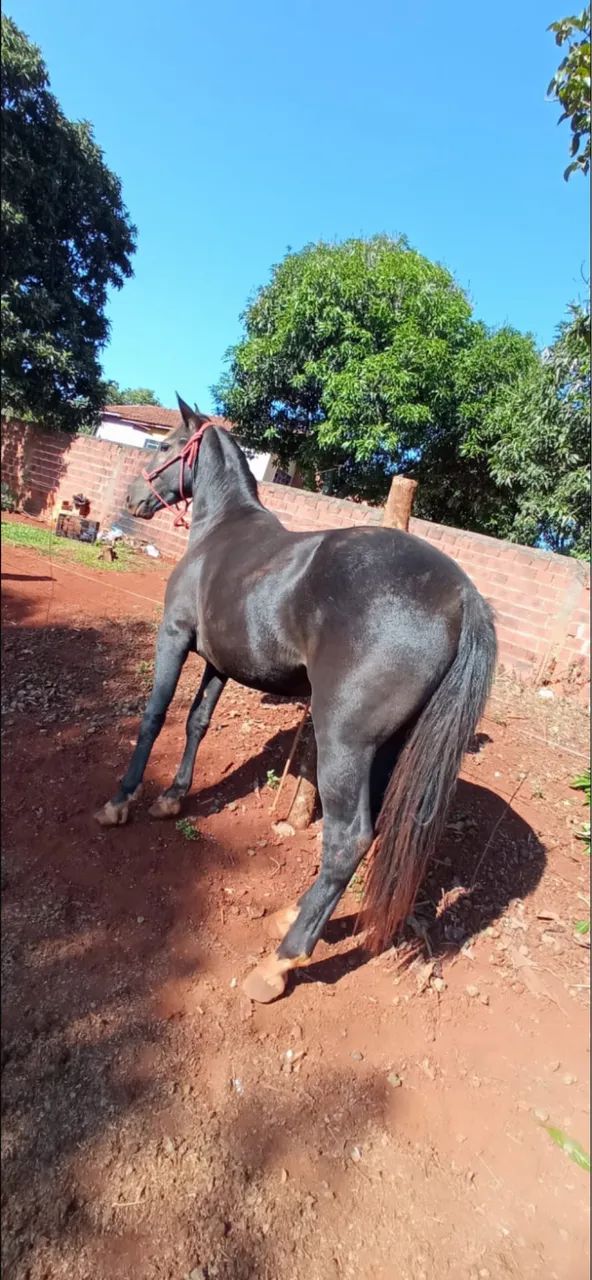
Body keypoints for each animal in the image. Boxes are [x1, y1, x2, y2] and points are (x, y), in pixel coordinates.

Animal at [95, 397, 497, 1003]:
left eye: (163, 445)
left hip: (344, 742)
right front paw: (173, 798)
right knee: (372, 832)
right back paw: (299, 918)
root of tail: (463, 594)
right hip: (390, 746)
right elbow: (196, 722)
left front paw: (122, 801)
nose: (132, 500)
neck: (221, 532)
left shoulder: (175, 636)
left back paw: (282, 961)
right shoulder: (219, 662)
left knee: (348, 839)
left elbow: (155, 716)